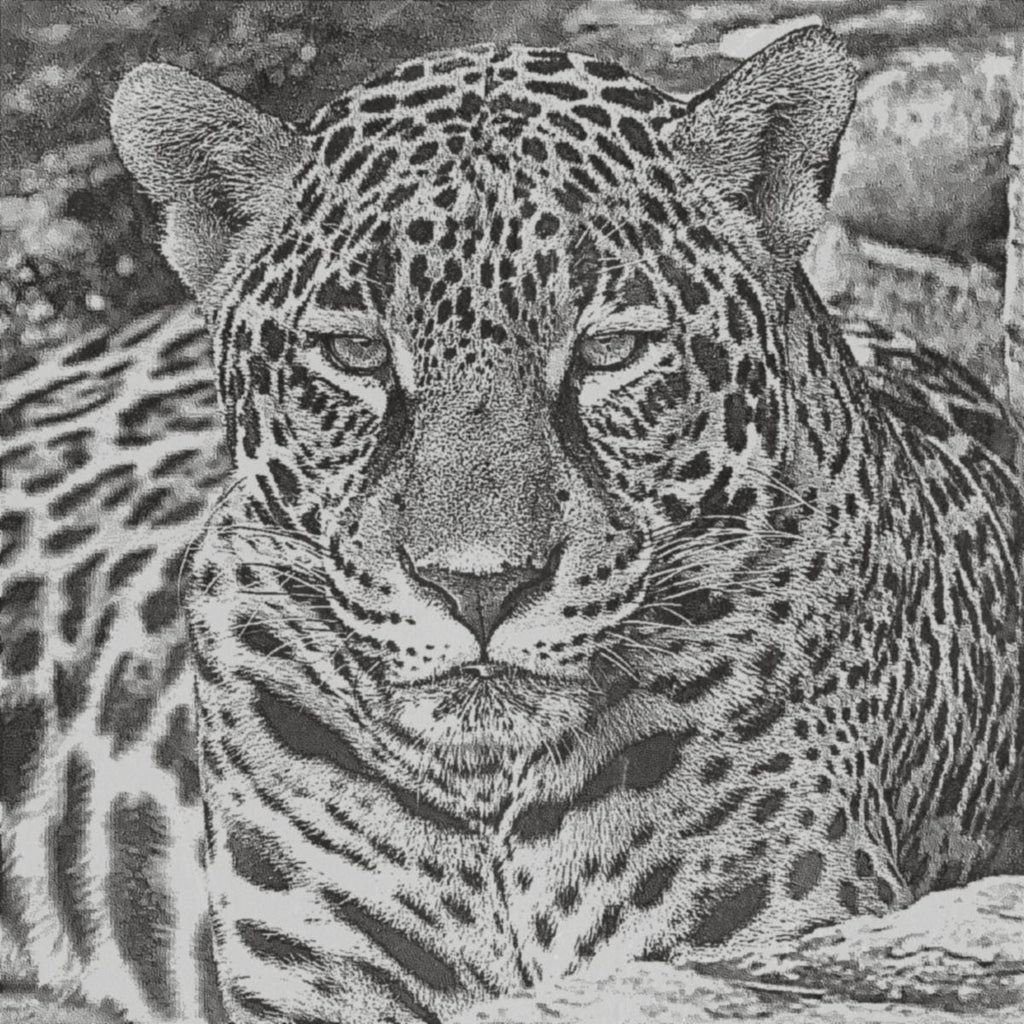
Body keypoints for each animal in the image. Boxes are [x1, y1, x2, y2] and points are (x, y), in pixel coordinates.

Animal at [2, 26, 1022, 1024]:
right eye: (355, 352)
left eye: (612, 349)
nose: (478, 587)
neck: (488, 792)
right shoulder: (313, 976)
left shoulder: (766, 926)